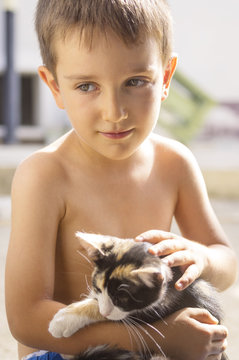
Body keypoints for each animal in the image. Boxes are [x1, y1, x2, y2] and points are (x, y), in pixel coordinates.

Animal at [49, 232, 228, 358]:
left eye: (121, 299)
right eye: (98, 288)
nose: (104, 311)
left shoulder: (162, 307)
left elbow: (118, 316)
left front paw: (63, 320)